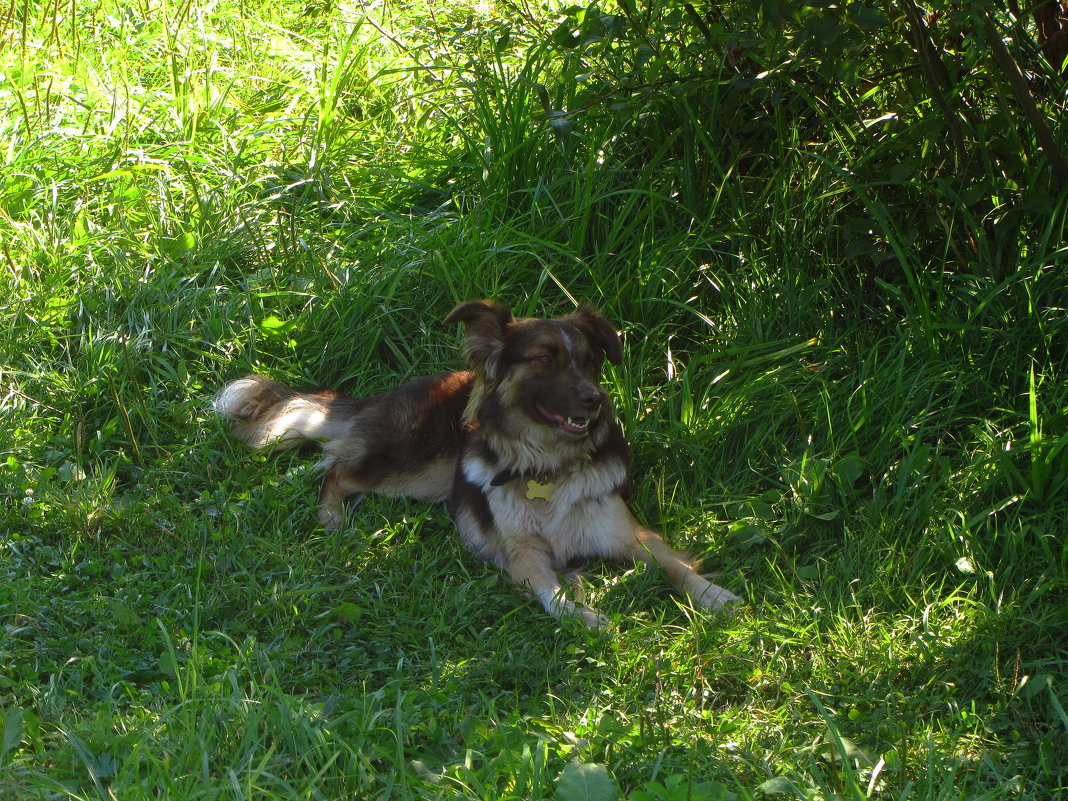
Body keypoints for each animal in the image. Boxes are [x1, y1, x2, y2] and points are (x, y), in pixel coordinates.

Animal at [212, 301, 739, 627]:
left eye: (591, 361)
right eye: (545, 359)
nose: (595, 400)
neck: (548, 467)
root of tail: (393, 392)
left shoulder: (629, 534)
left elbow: (673, 564)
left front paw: (716, 597)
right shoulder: (522, 552)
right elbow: (554, 592)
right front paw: (584, 615)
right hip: (414, 467)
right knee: (335, 470)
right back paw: (332, 518)